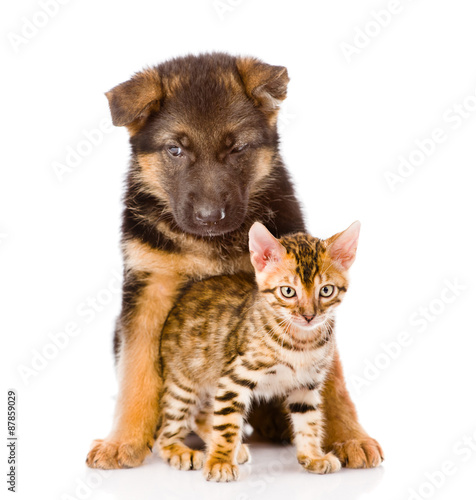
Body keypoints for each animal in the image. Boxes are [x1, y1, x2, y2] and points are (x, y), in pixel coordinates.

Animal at [156, 221, 360, 478]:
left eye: (326, 290)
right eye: (288, 291)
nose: (309, 316)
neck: (301, 342)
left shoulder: (306, 384)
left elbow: (309, 423)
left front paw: (313, 456)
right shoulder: (234, 378)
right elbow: (227, 424)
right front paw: (220, 462)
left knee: (202, 416)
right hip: (182, 383)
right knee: (167, 431)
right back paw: (180, 451)